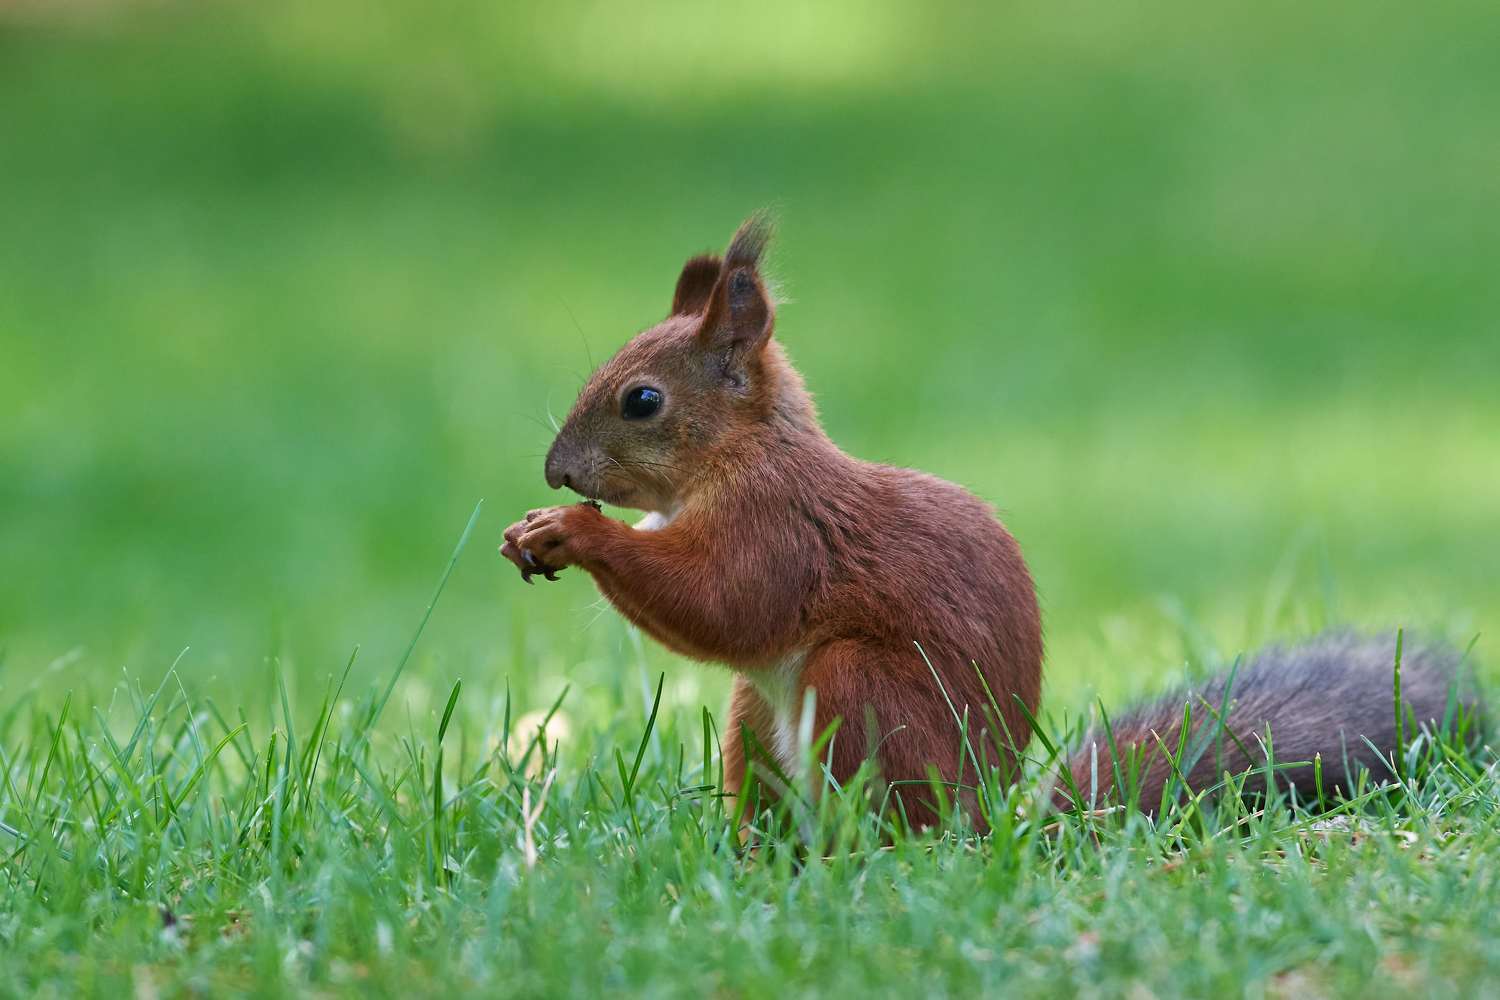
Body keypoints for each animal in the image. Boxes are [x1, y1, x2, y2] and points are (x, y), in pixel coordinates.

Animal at [500, 214, 1477, 827]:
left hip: (863, 692)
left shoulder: (778, 527)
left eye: (643, 401)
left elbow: (724, 604)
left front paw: (573, 532)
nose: (556, 470)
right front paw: (534, 527)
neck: (740, 458)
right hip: (756, 723)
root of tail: (985, 826)